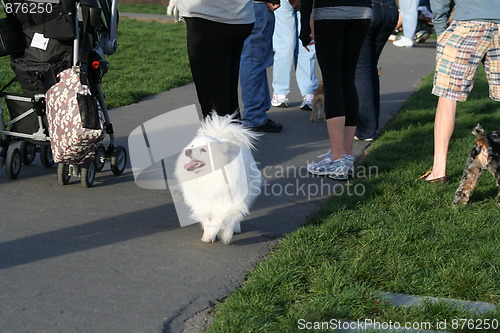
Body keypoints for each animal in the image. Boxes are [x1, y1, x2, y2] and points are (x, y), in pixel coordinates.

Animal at [175, 113, 262, 243]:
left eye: (203, 150)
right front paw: (208, 233)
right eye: (192, 145)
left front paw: (214, 234)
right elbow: (207, 219)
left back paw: (235, 227)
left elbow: (219, 219)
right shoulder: (201, 202)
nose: (187, 150)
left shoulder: (230, 202)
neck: (208, 175)